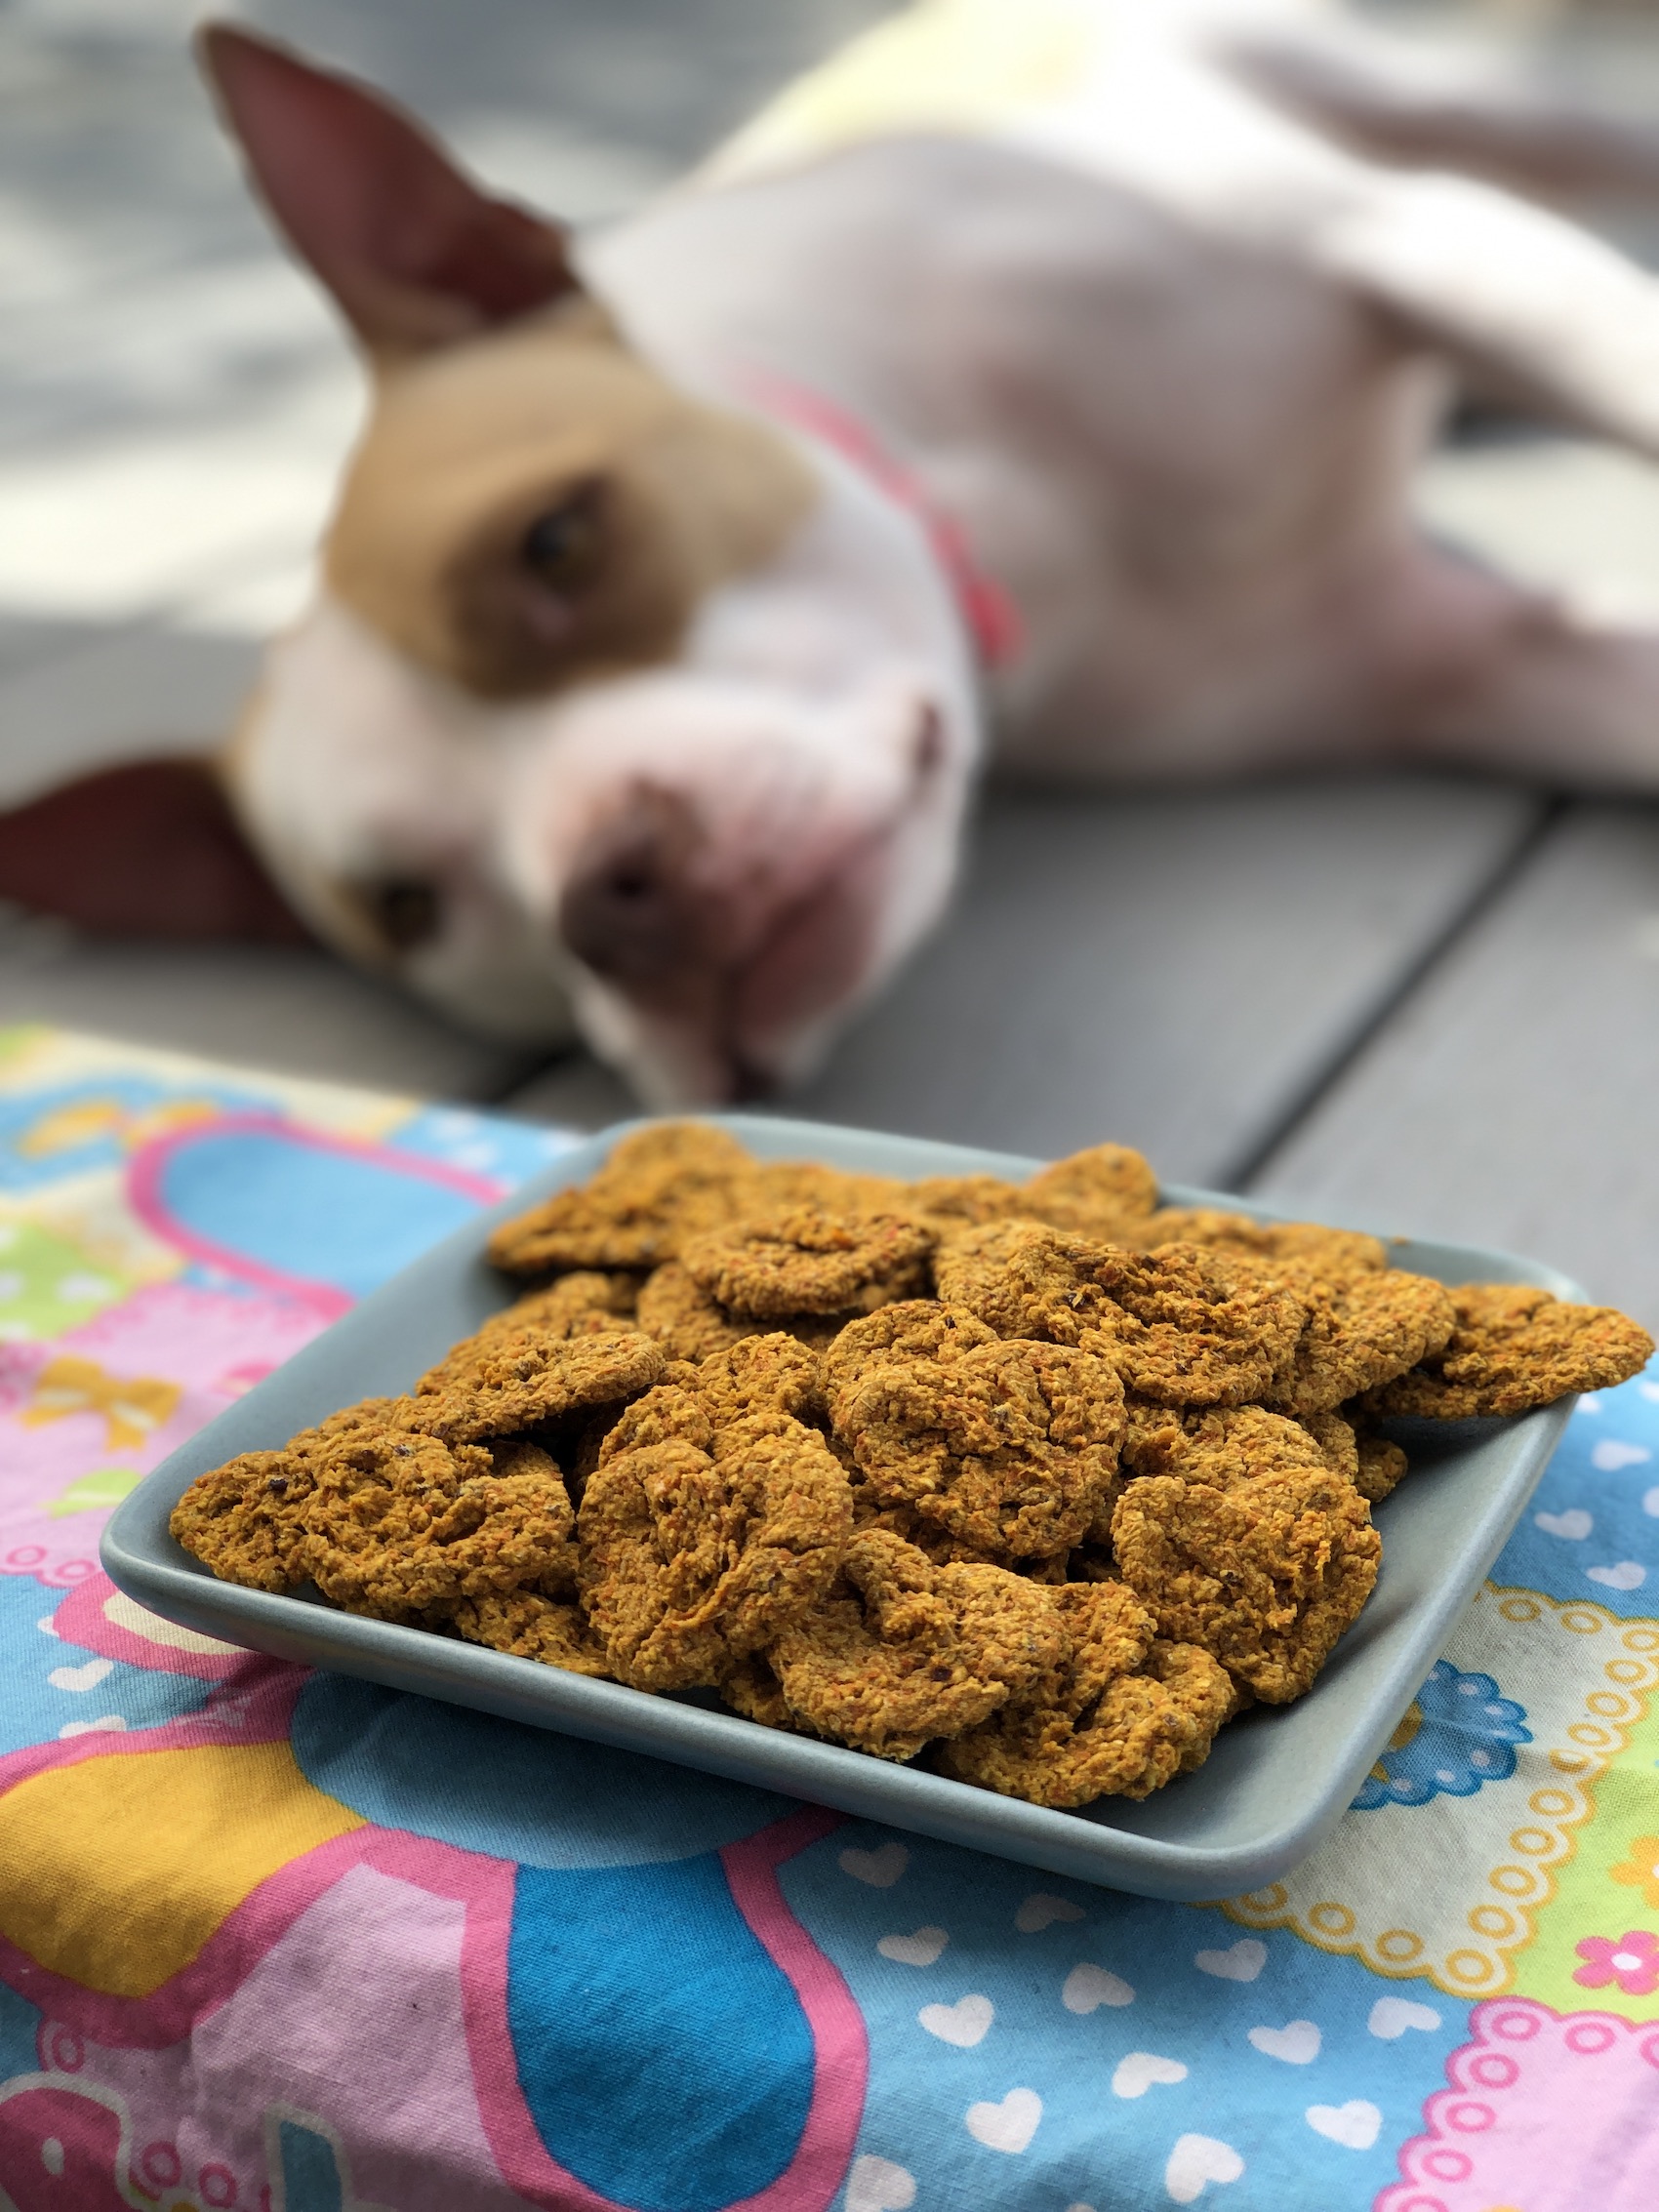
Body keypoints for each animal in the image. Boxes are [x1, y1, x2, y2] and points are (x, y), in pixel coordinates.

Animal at [9, 0, 1659, 1106]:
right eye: (405, 907)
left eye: (557, 540)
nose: (612, 895)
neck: (1030, 534)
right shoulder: (1444, 657)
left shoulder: (1414, 251)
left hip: (1431, 107)